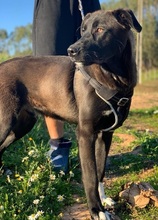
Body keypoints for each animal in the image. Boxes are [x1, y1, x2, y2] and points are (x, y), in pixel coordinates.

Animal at [0, 9, 141, 220]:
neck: (113, 78)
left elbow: (100, 171)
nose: (70, 51)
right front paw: (97, 210)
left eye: (100, 29)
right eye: (83, 30)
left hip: (22, 125)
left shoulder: (106, 134)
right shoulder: (85, 134)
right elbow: (90, 176)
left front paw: (104, 200)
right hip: (5, 122)